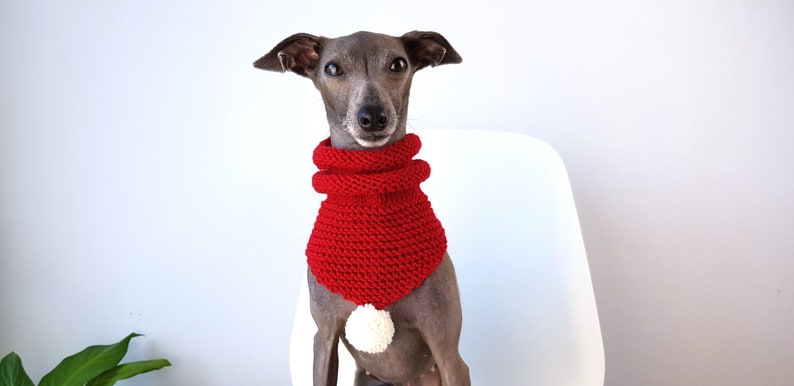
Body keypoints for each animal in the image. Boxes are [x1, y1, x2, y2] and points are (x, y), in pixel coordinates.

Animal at [254, 30, 468, 386]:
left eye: (398, 64)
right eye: (332, 68)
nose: (372, 117)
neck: (369, 192)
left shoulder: (447, 350)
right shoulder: (324, 337)